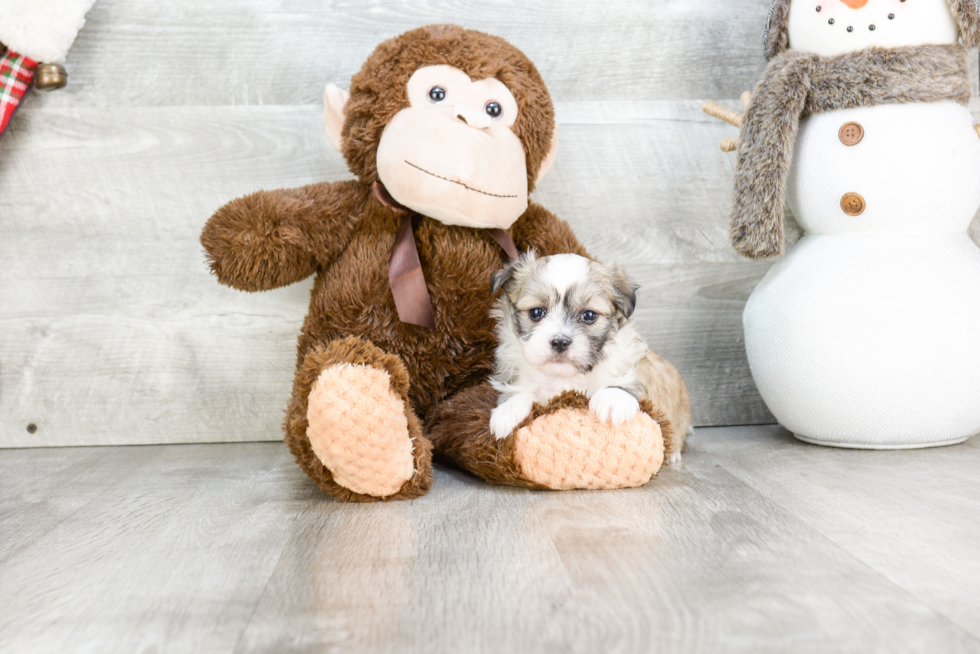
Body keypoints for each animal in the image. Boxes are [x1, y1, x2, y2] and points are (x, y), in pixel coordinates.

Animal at [488, 251, 688, 462]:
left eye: (589, 315)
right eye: (536, 312)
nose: (560, 342)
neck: (565, 377)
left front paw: (613, 398)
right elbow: (522, 391)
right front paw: (508, 411)